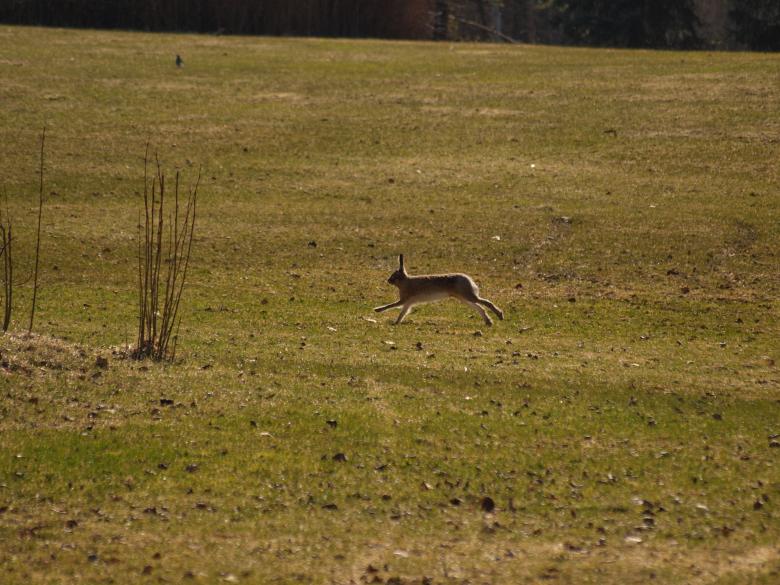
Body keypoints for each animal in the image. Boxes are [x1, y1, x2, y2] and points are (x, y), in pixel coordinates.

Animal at [374, 254, 504, 326]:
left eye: (394, 275)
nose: (388, 280)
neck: (405, 281)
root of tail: (468, 279)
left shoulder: (404, 300)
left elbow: (391, 305)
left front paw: (377, 310)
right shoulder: (408, 303)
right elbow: (402, 313)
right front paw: (396, 323)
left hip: (467, 295)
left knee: (486, 303)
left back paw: (500, 315)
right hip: (463, 298)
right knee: (480, 307)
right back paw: (489, 322)